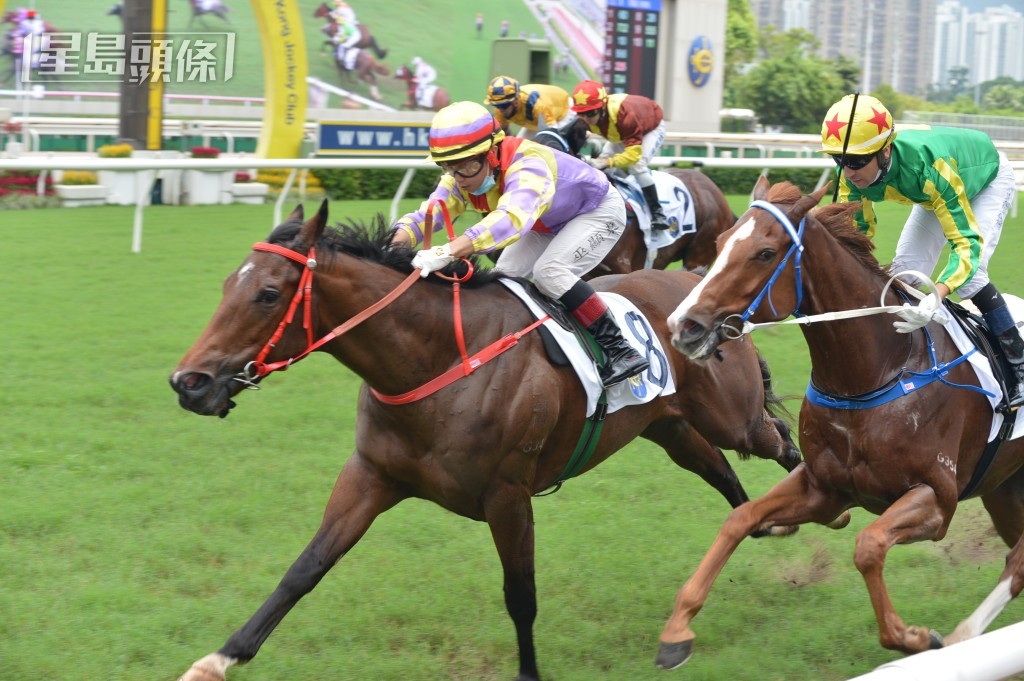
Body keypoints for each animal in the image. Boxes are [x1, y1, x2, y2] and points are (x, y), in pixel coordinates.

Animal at [169, 202, 807, 681]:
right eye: (227, 285)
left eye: (268, 294)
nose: (188, 382)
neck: (438, 359)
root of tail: (699, 291)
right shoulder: (371, 474)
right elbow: (305, 568)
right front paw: (219, 658)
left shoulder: (508, 495)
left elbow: (519, 594)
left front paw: (528, 673)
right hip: (667, 426)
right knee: (722, 473)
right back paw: (764, 522)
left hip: (731, 415)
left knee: (779, 442)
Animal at [658, 176, 1024, 670]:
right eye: (719, 243)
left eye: (765, 253)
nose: (684, 327)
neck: (875, 372)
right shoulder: (824, 486)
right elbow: (740, 519)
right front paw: (677, 632)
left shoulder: (937, 498)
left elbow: (868, 546)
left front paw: (913, 638)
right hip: (1004, 488)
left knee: (1017, 564)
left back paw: (962, 634)